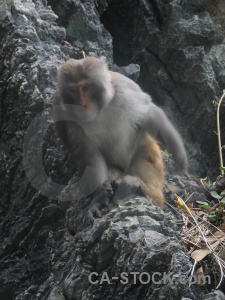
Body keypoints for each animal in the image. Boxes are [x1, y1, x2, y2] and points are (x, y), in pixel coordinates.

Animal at [53, 56, 188, 220]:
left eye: (85, 88)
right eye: (73, 90)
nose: (82, 104)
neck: (98, 111)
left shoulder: (123, 88)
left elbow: (149, 113)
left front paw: (179, 156)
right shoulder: (67, 118)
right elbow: (88, 153)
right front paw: (99, 196)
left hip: (150, 153)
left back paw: (145, 190)